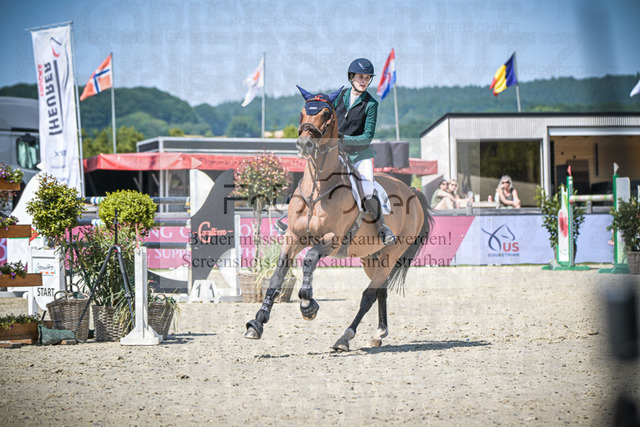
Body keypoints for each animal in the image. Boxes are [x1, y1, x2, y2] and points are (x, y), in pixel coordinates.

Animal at [244, 86, 432, 351]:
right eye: (302, 112)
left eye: (326, 114)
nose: (305, 143)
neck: (318, 189)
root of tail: (412, 193)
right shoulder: (293, 238)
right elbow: (277, 276)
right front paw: (257, 323)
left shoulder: (332, 240)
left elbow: (309, 259)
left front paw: (308, 305)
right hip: (370, 256)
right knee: (380, 289)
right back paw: (378, 333)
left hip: (391, 253)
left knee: (368, 295)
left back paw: (345, 337)